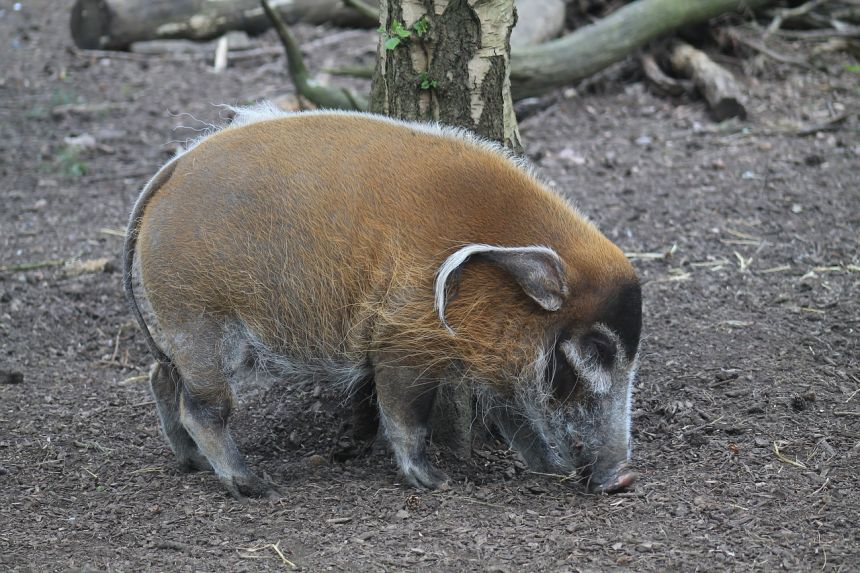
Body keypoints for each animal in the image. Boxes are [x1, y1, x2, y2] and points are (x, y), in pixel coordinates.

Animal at [124, 104, 640, 500]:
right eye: (598, 349)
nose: (623, 477)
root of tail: (173, 169)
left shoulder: (499, 364)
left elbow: (517, 416)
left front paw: (552, 469)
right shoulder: (402, 343)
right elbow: (407, 415)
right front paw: (435, 481)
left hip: (179, 331)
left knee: (160, 378)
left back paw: (191, 463)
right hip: (200, 323)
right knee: (203, 409)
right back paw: (254, 486)